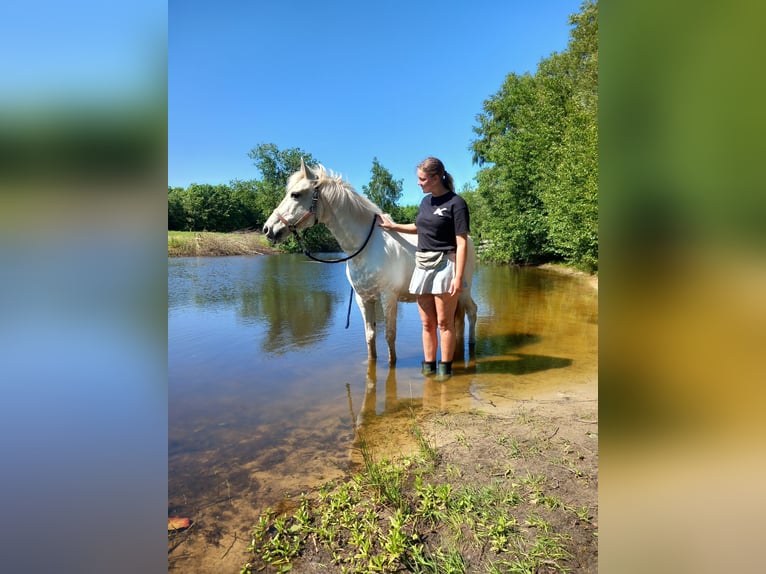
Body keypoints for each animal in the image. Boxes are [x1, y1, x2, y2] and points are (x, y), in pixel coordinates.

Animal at [268, 160, 476, 366]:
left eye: (295, 194)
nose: (268, 229)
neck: (367, 247)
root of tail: (468, 239)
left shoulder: (388, 297)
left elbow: (390, 337)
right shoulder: (364, 299)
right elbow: (370, 336)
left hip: (461, 291)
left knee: (472, 312)